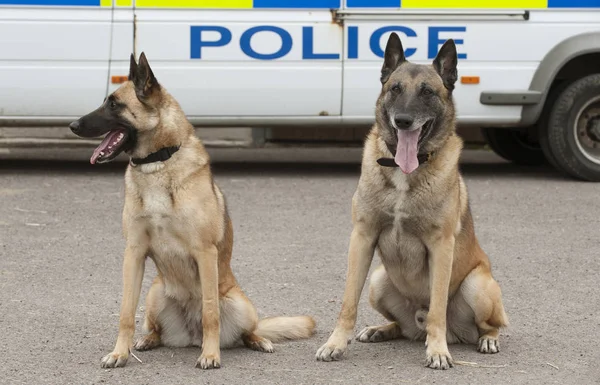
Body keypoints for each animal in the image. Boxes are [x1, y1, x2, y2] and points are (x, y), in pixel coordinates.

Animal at [69, 52, 314, 368]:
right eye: (105, 102)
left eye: (113, 104)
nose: (72, 125)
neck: (158, 162)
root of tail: (190, 335)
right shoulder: (133, 253)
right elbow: (125, 313)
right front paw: (120, 353)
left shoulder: (204, 252)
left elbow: (210, 313)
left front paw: (210, 355)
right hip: (155, 293)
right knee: (155, 328)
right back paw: (148, 339)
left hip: (239, 303)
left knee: (246, 329)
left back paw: (257, 341)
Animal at [316, 33, 508, 368]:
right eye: (395, 88)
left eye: (428, 92)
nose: (403, 121)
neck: (404, 172)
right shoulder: (362, 238)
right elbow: (348, 302)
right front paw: (336, 343)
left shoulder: (441, 247)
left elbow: (437, 310)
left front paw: (437, 351)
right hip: (378, 281)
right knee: (402, 327)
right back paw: (381, 329)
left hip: (477, 285)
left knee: (485, 324)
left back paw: (485, 339)